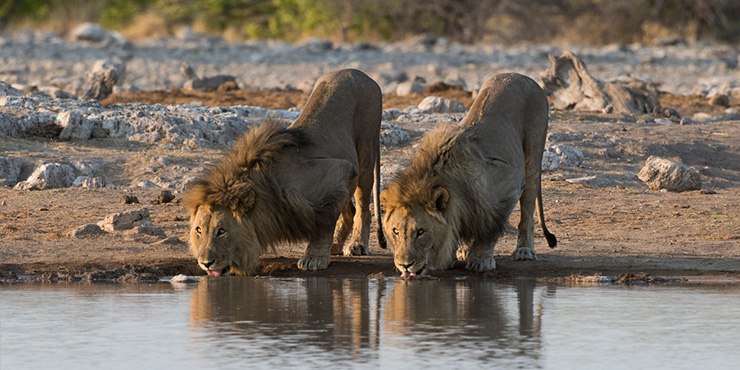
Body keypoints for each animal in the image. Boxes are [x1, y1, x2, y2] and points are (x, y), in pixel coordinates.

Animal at [184, 70, 388, 278]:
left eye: (222, 231)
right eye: (198, 230)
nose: (205, 263)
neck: (267, 189)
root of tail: (360, 74)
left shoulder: (340, 170)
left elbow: (323, 224)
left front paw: (314, 258)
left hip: (364, 154)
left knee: (362, 209)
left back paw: (357, 245)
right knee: (349, 210)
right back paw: (336, 246)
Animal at [382, 72, 556, 276]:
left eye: (421, 232)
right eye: (395, 231)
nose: (404, 265)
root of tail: (521, 76)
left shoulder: (509, 184)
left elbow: (489, 230)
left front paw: (480, 260)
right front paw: (460, 252)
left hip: (532, 157)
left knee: (528, 208)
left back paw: (524, 250)